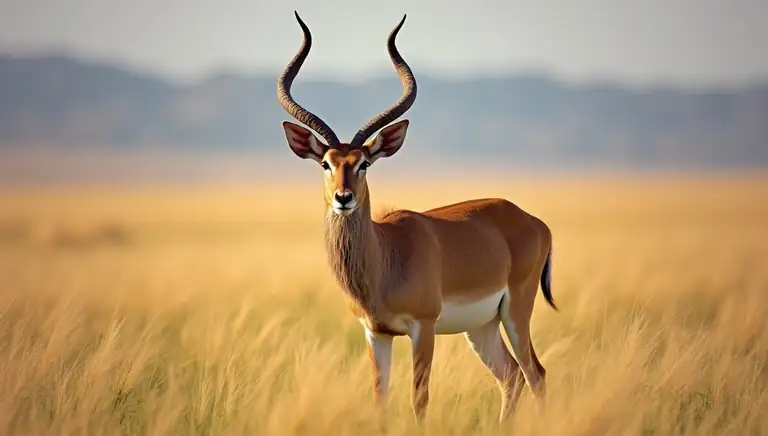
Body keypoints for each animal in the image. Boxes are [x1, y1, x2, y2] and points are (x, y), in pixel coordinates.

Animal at [277, 11, 558, 422]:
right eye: (326, 163)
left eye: (364, 163)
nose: (344, 198)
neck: (386, 258)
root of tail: (531, 220)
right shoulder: (376, 333)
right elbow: (380, 399)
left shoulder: (422, 328)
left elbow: (419, 399)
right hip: (483, 327)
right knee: (512, 378)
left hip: (516, 313)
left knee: (535, 374)